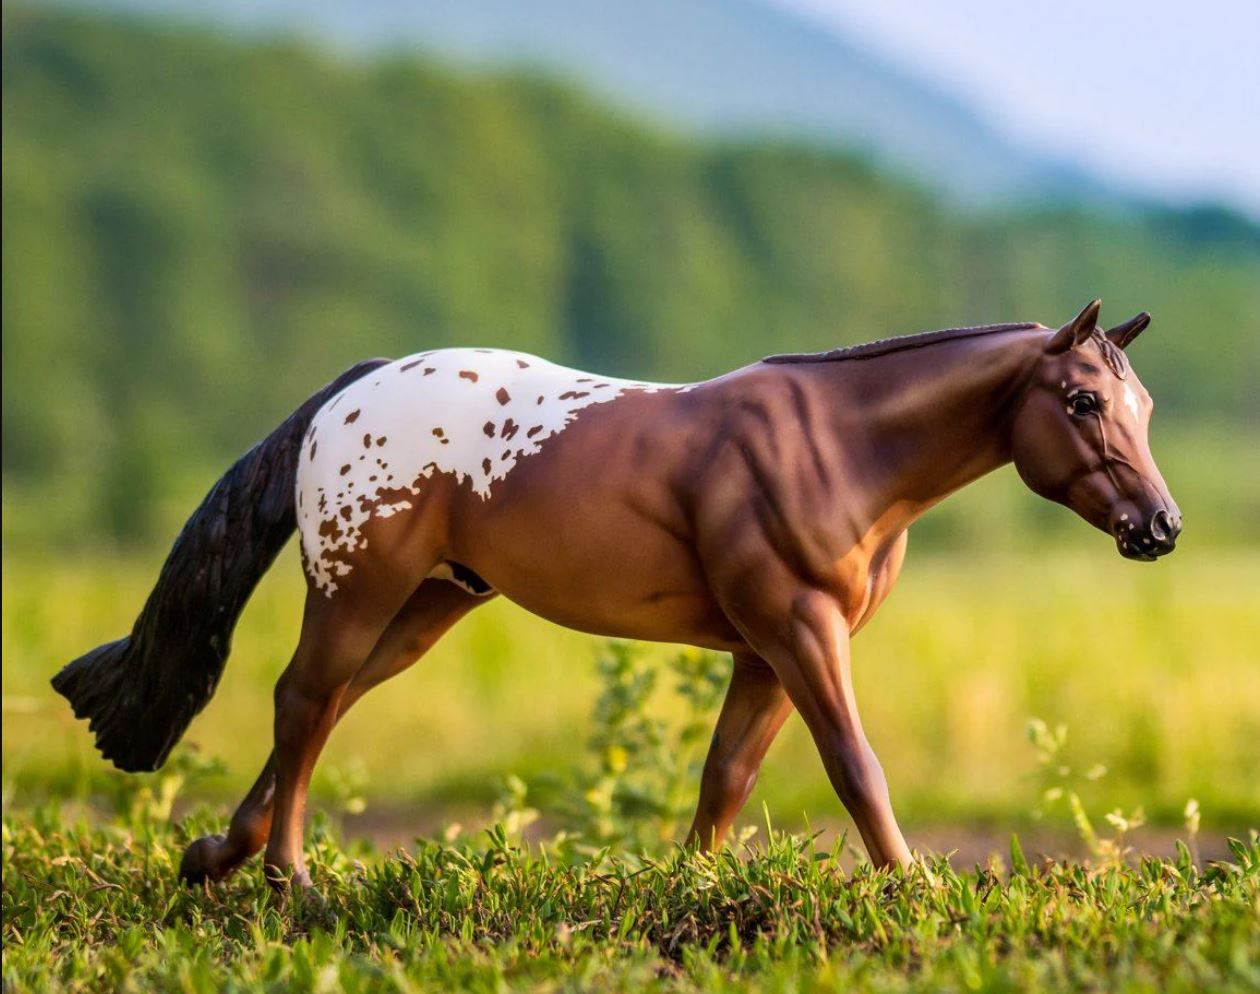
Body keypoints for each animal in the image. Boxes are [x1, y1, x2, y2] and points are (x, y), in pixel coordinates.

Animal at [53, 299, 1180, 888]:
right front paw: (909, 888)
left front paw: (697, 887)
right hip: (355, 585)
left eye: (1144, 406)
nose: (1158, 527)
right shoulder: (801, 630)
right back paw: (290, 876)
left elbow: (725, 777)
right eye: (1083, 401)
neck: (836, 447)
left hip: (428, 605)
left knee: (328, 704)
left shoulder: (766, 648)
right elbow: (856, 766)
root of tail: (356, 387)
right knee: (302, 698)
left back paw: (218, 853)